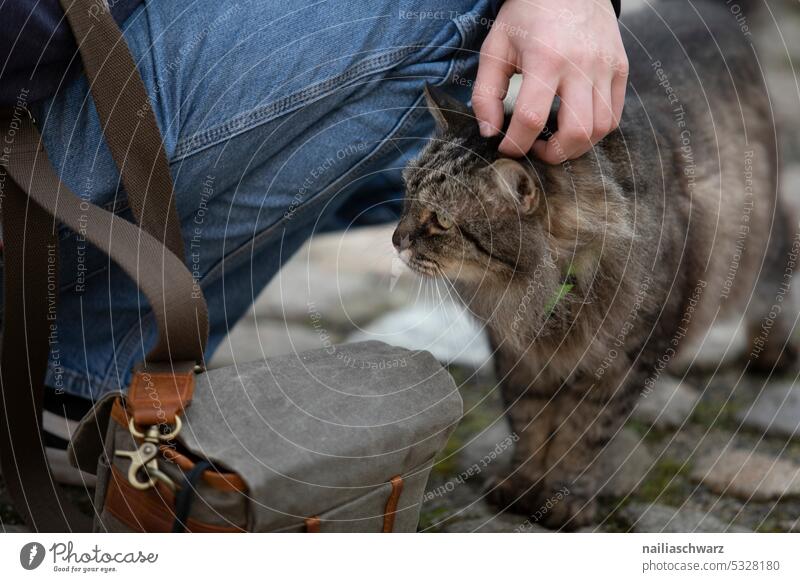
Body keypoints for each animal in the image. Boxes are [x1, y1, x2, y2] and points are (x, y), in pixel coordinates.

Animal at [390, 0, 796, 532]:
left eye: (438, 220)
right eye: (406, 195)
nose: (395, 239)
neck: (543, 294)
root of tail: (707, 10)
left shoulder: (623, 360)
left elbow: (580, 435)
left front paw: (562, 497)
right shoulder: (518, 357)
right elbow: (530, 422)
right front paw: (522, 484)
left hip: (757, 241)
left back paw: (774, 351)